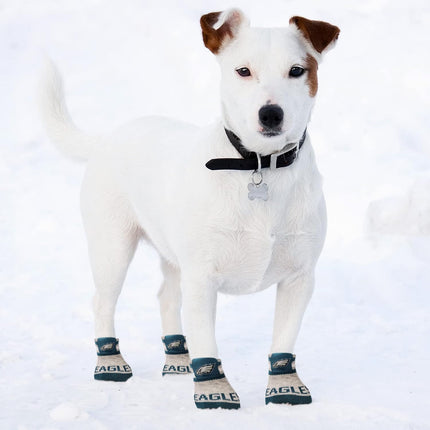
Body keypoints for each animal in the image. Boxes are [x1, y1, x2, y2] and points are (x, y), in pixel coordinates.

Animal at [40, 8, 340, 408]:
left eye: (297, 70)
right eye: (243, 71)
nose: (271, 114)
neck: (258, 165)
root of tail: (107, 138)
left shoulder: (299, 277)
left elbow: (284, 336)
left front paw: (284, 385)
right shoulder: (202, 277)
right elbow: (207, 340)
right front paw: (214, 389)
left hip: (172, 254)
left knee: (167, 298)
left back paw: (178, 358)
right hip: (112, 248)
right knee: (102, 301)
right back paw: (110, 361)